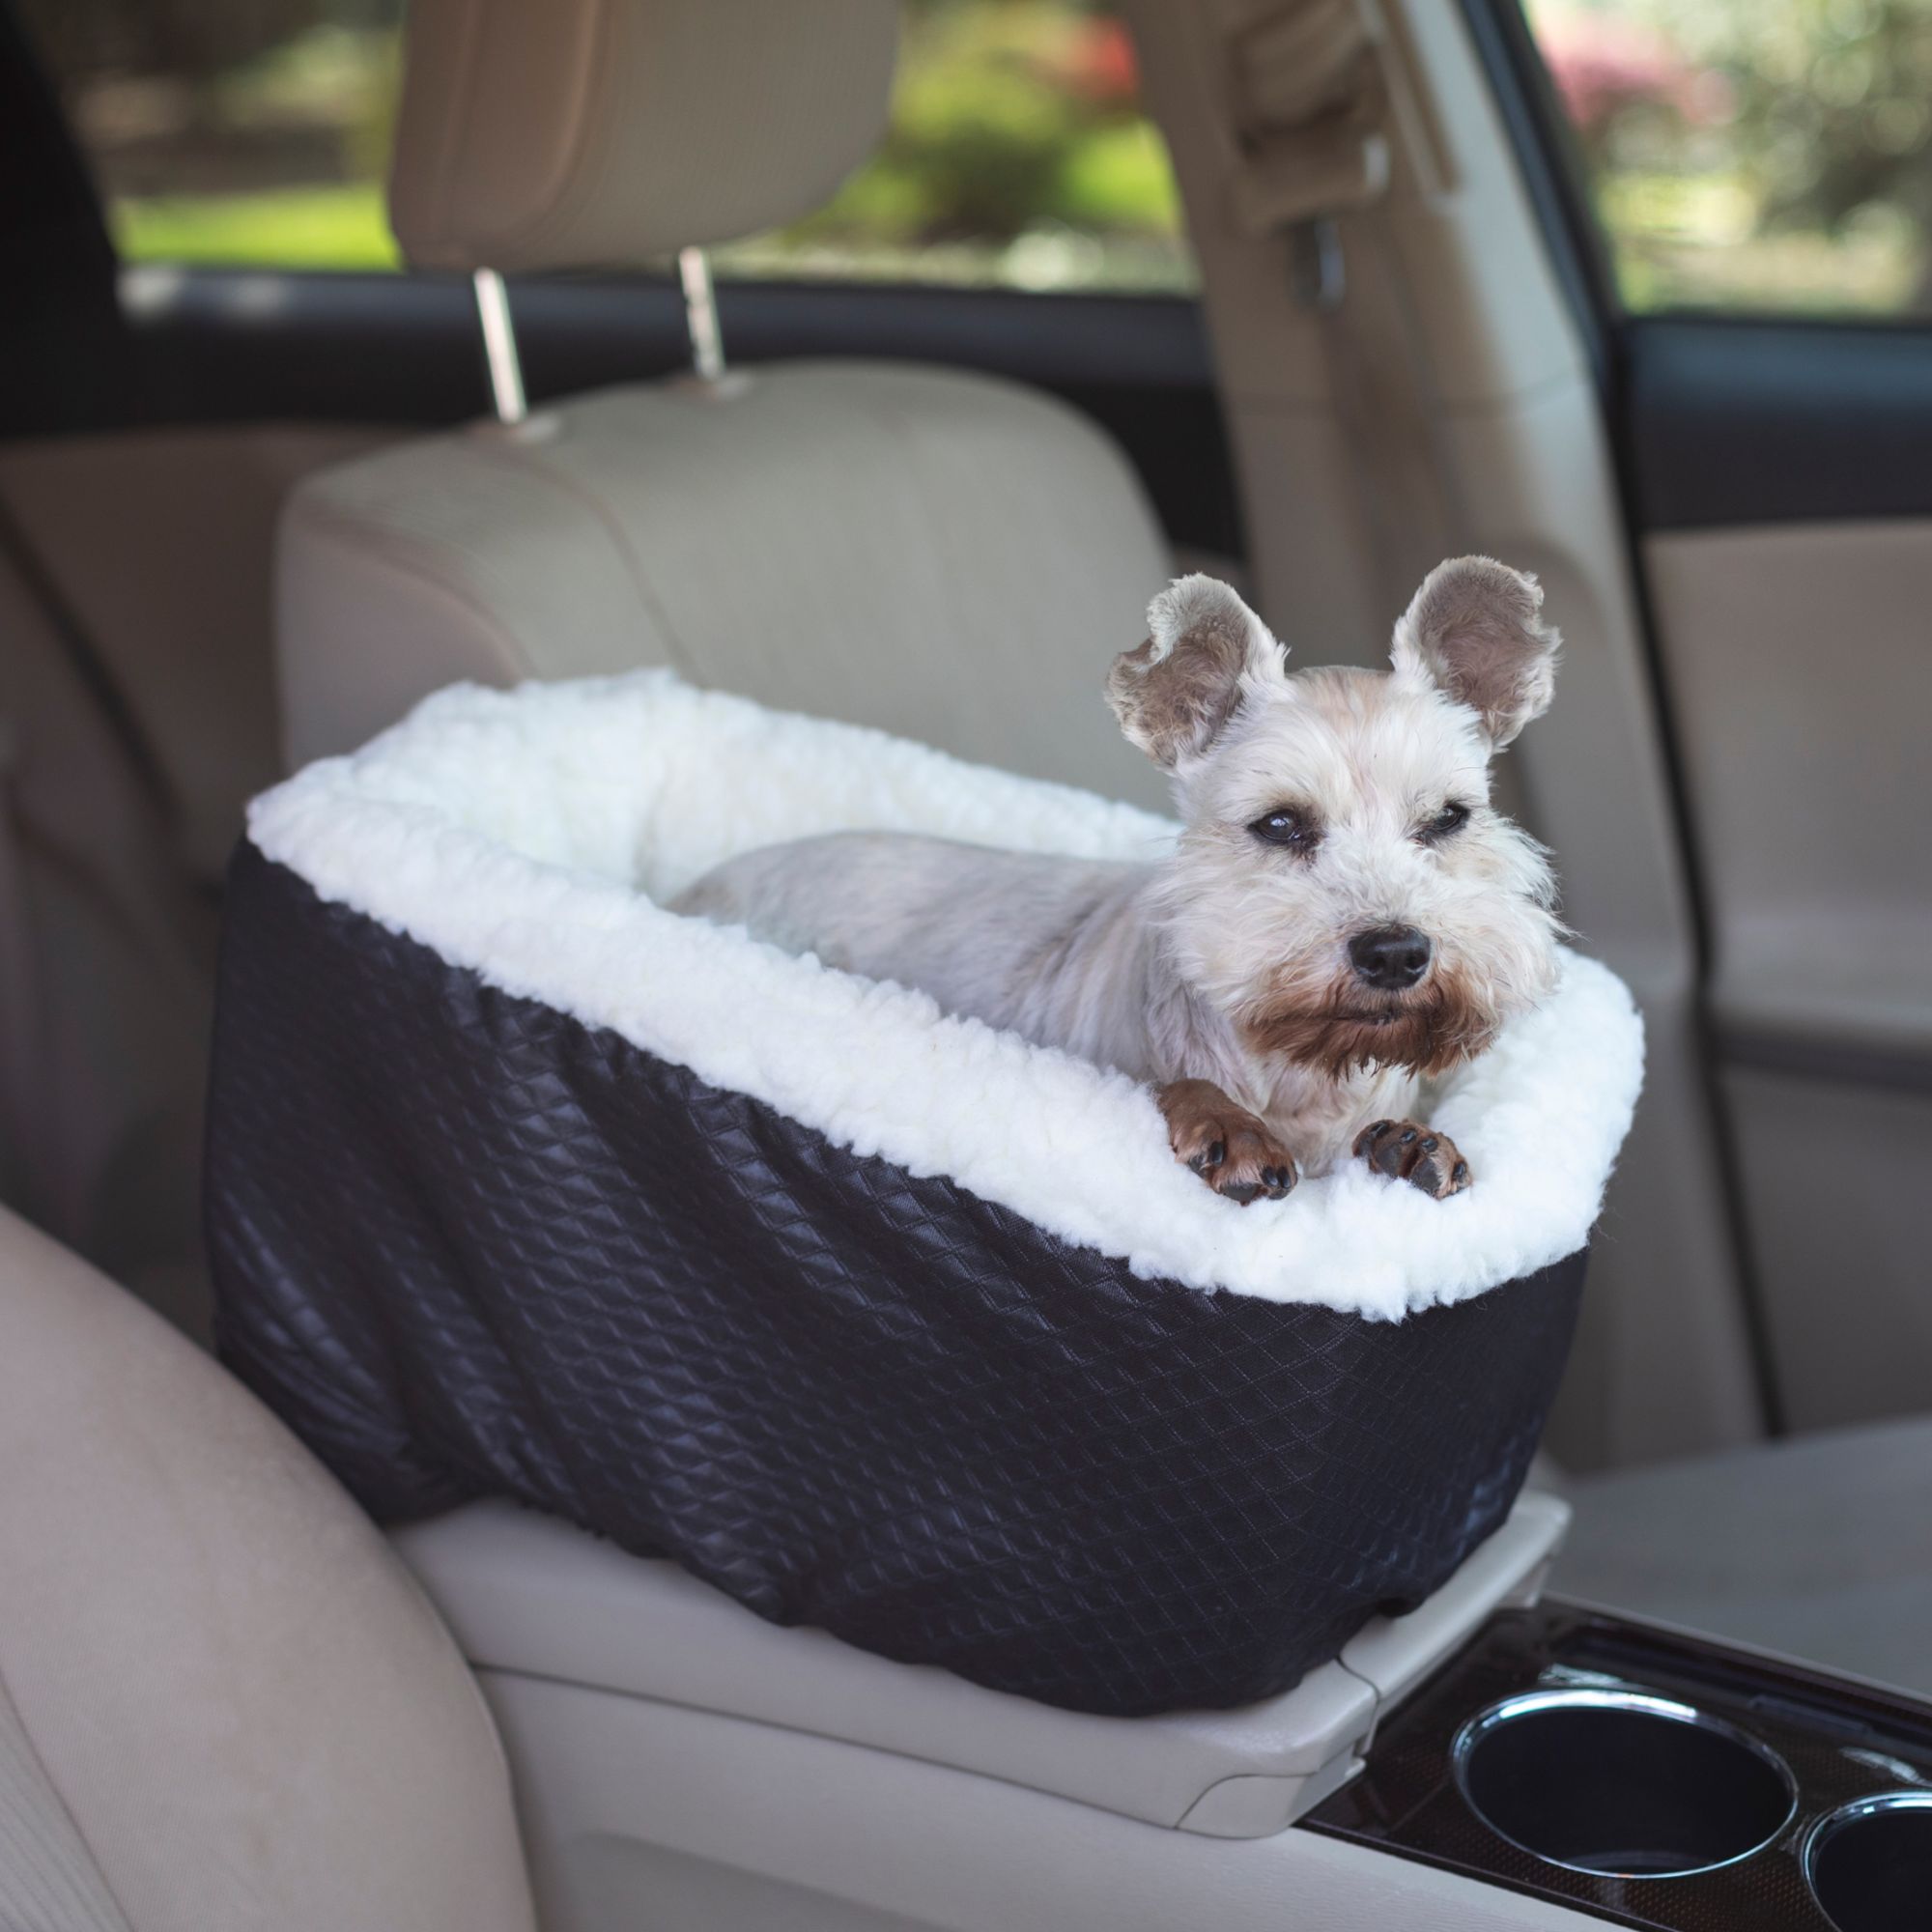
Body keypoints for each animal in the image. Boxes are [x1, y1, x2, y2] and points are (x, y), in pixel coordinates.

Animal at [672, 553, 1561, 1206]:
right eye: (1279, 824)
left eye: (1450, 819)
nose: (1397, 953)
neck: (1301, 1073)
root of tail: (694, 887)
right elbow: (1183, 1088)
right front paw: (1228, 1128)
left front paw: (1412, 1146)